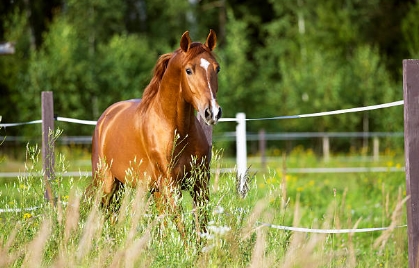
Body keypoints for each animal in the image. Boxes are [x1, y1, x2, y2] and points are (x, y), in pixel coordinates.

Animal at [91, 29, 223, 234]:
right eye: (188, 70)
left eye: (217, 69)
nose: (212, 112)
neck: (178, 130)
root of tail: (105, 118)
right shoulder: (171, 185)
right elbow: (182, 228)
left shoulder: (200, 183)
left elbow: (201, 227)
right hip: (107, 184)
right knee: (107, 214)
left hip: (144, 189)